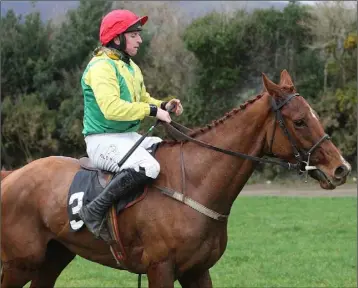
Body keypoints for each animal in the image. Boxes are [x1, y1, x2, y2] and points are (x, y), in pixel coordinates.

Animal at [1, 71, 352, 286]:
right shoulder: (160, 269)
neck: (195, 183)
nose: (341, 168)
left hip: (54, 256)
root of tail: (12, 175)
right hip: (20, 262)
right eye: (300, 121)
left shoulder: (197, 271)